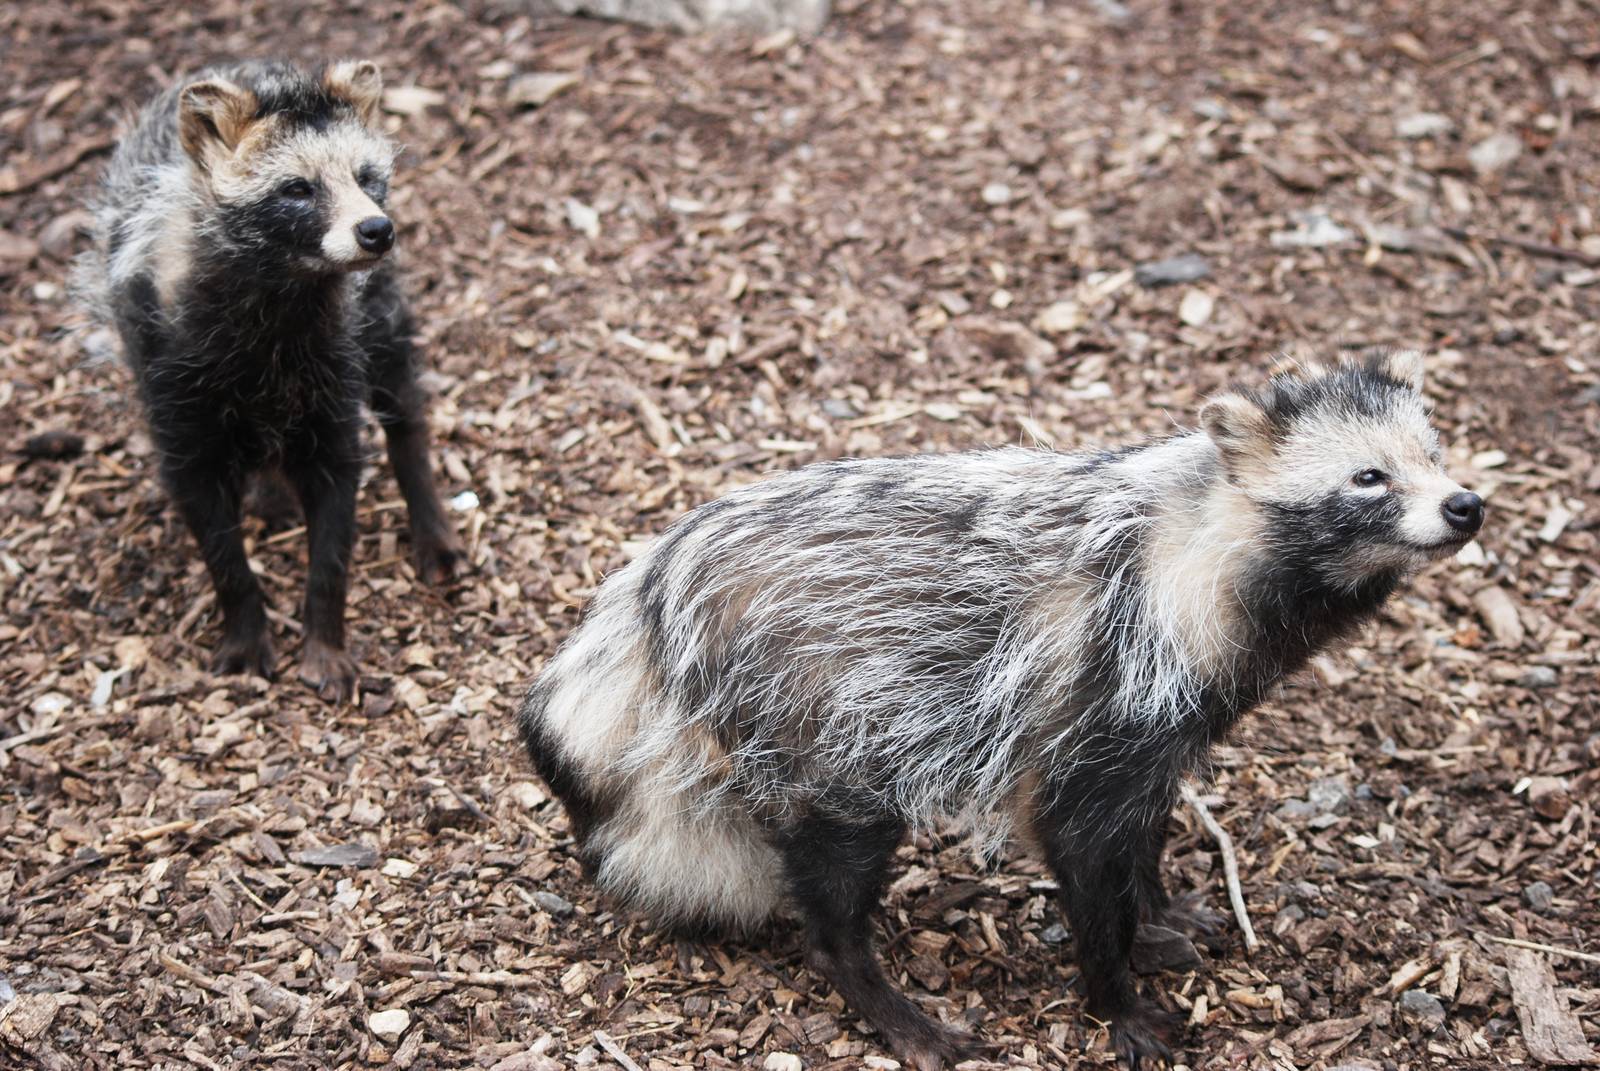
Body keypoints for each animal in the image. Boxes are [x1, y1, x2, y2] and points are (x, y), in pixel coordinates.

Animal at [77, 59, 461, 700]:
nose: (377, 230)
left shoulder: (334, 365)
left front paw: (324, 640)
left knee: (401, 399)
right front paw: (244, 628)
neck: (286, 292)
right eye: (297, 189)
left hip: (379, 309)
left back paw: (429, 522)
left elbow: (334, 523)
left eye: (366, 177)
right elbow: (215, 533)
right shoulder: (174, 380)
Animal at [516, 352, 1484, 1068]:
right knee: (829, 896)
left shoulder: (1160, 735)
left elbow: (1140, 836)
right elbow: (1082, 851)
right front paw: (1123, 1004)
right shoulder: (1102, 697)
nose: (1465, 504)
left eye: (1435, 454)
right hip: (833, 729)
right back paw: (905, 1018)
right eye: (1368, 476)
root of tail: (652, 586)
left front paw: (1165, 912)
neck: (1187, 561)